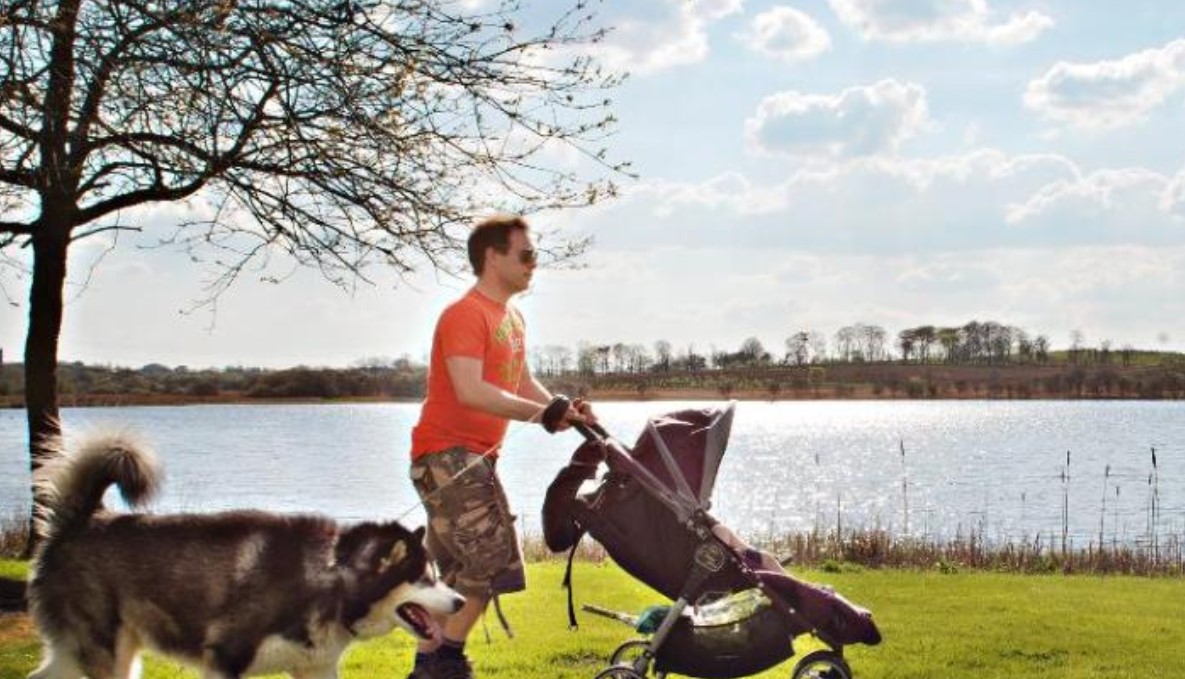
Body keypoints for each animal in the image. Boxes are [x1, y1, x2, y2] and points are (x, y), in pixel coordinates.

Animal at [26, 431, 462, 677]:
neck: (330, 577)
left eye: (437, 575)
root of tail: (83, 520)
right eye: (424, 578)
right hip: (103, 651)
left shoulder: (315, 669)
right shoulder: (225, 659)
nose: (459, 601)